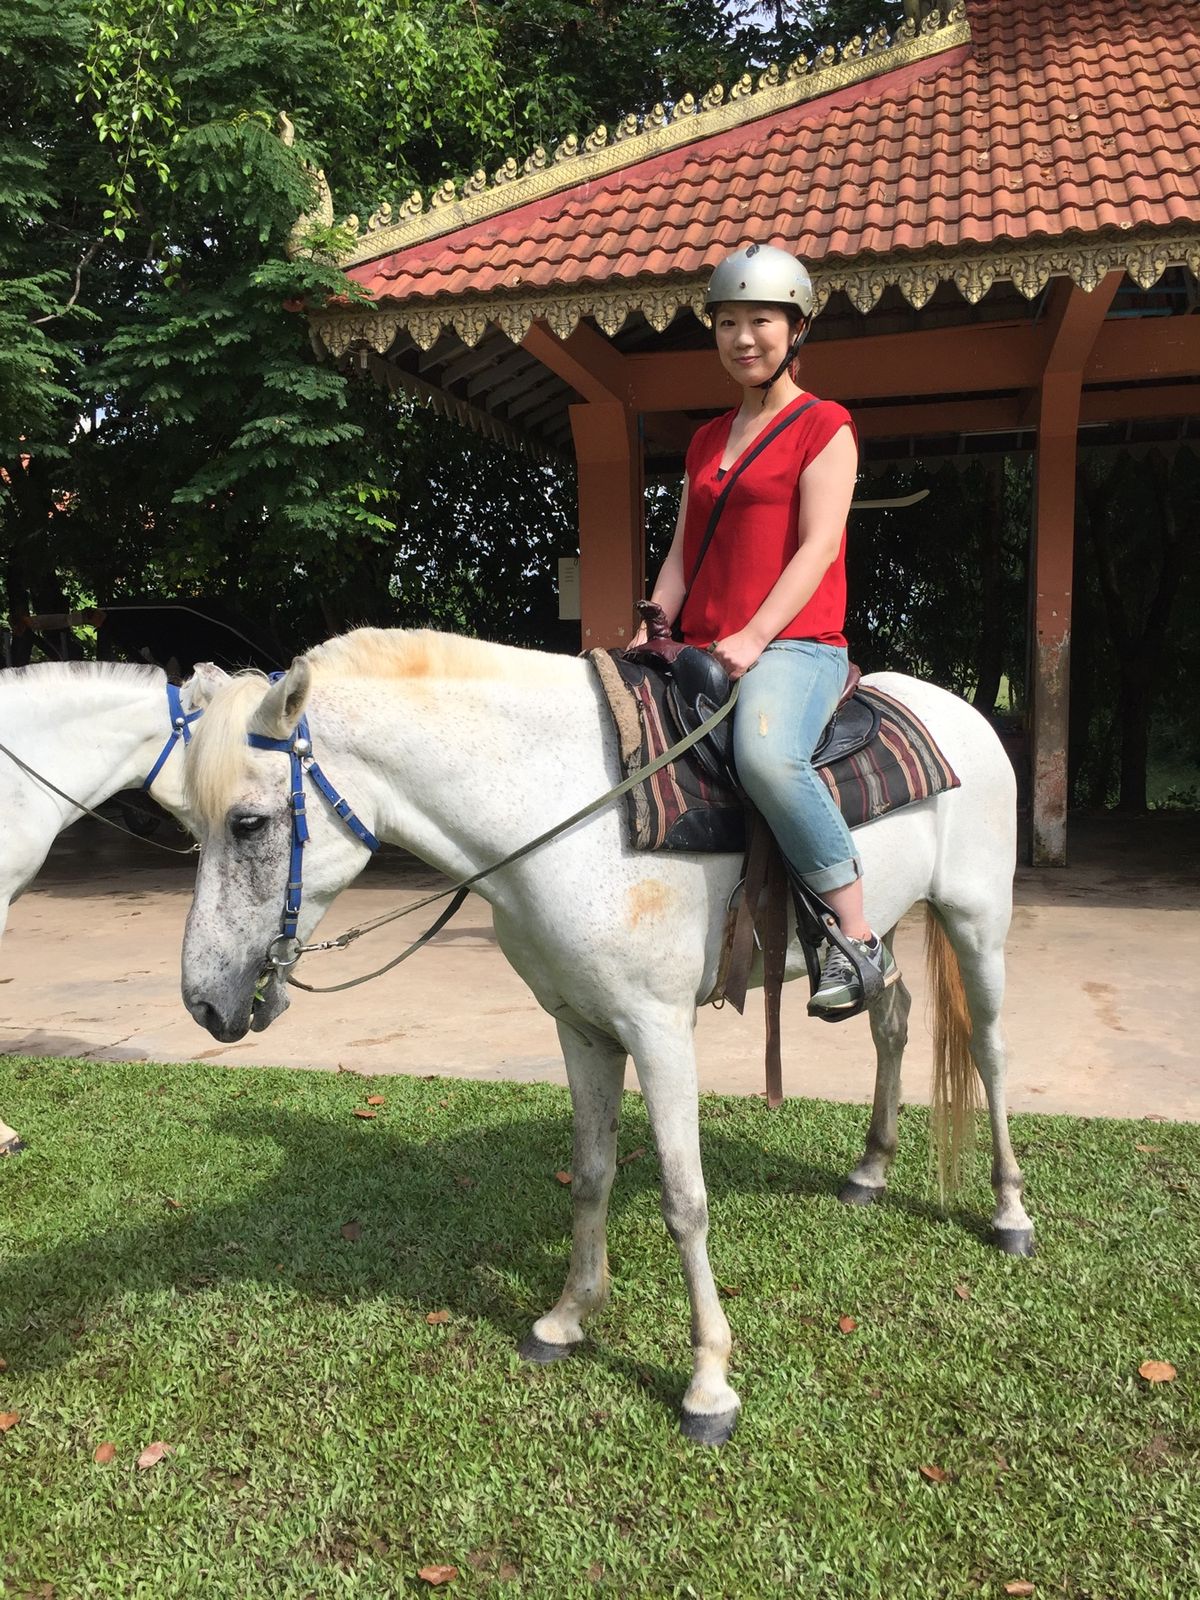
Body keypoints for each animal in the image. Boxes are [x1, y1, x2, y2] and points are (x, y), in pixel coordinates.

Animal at [178, 628, 1032, 1446]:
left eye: (248, 823)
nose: (203, 1002)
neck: (562, 806)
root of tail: (960, 714)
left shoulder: (659, 1030)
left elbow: (684, 1200)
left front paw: (709, 1385)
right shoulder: (580, 1027)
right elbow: (590, 1174)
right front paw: (567, 1318)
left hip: (977, 920)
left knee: (990, 1052)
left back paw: (1010, 1215)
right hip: (886, 931)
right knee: (892, 1019)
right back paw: (870, 1169)